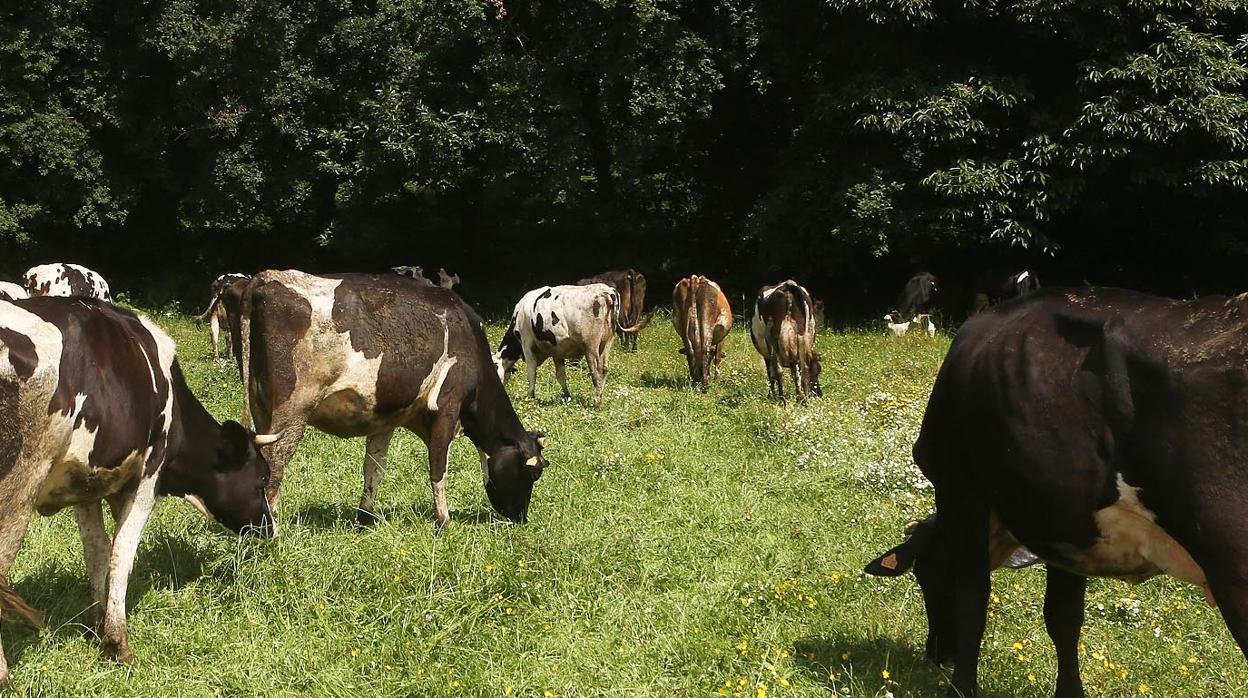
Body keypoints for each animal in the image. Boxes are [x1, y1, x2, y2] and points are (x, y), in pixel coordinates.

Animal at [0, 295, 278, 684]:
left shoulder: (86, 483)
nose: (272, 527)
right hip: (16, 494)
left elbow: (97, 551)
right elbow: (122, 554)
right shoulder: (146, 481)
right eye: (262, 478)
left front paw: (96, 623)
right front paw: (116, 644)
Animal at [240, 268, 549, 529]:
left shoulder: (385, 419)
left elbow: (374, 469)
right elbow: (438, 468)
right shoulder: (447, 406)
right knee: (274, 467)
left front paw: (365, 519)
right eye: (532, 474)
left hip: (261, 410)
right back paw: (272, 532)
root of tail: (265, 277)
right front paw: (444, 522)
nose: (521, 518)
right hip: (291, 413)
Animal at [491, 280, 648, 407]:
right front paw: (567, 396)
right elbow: (561, 375)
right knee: (604, 369)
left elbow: (531, 372)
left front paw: (530, 397)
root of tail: (606, 291)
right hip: (607, 341)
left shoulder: (527, 343)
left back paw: (596, 403)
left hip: (591, 346)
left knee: (596, 371)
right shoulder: (557, 350)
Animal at [863, 285, 1248, 698]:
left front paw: (962, 687)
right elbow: (1064, 616)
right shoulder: (1065, 522)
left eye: (924, 573)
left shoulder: (960, 487)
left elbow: (973, 598)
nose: (937, 654)